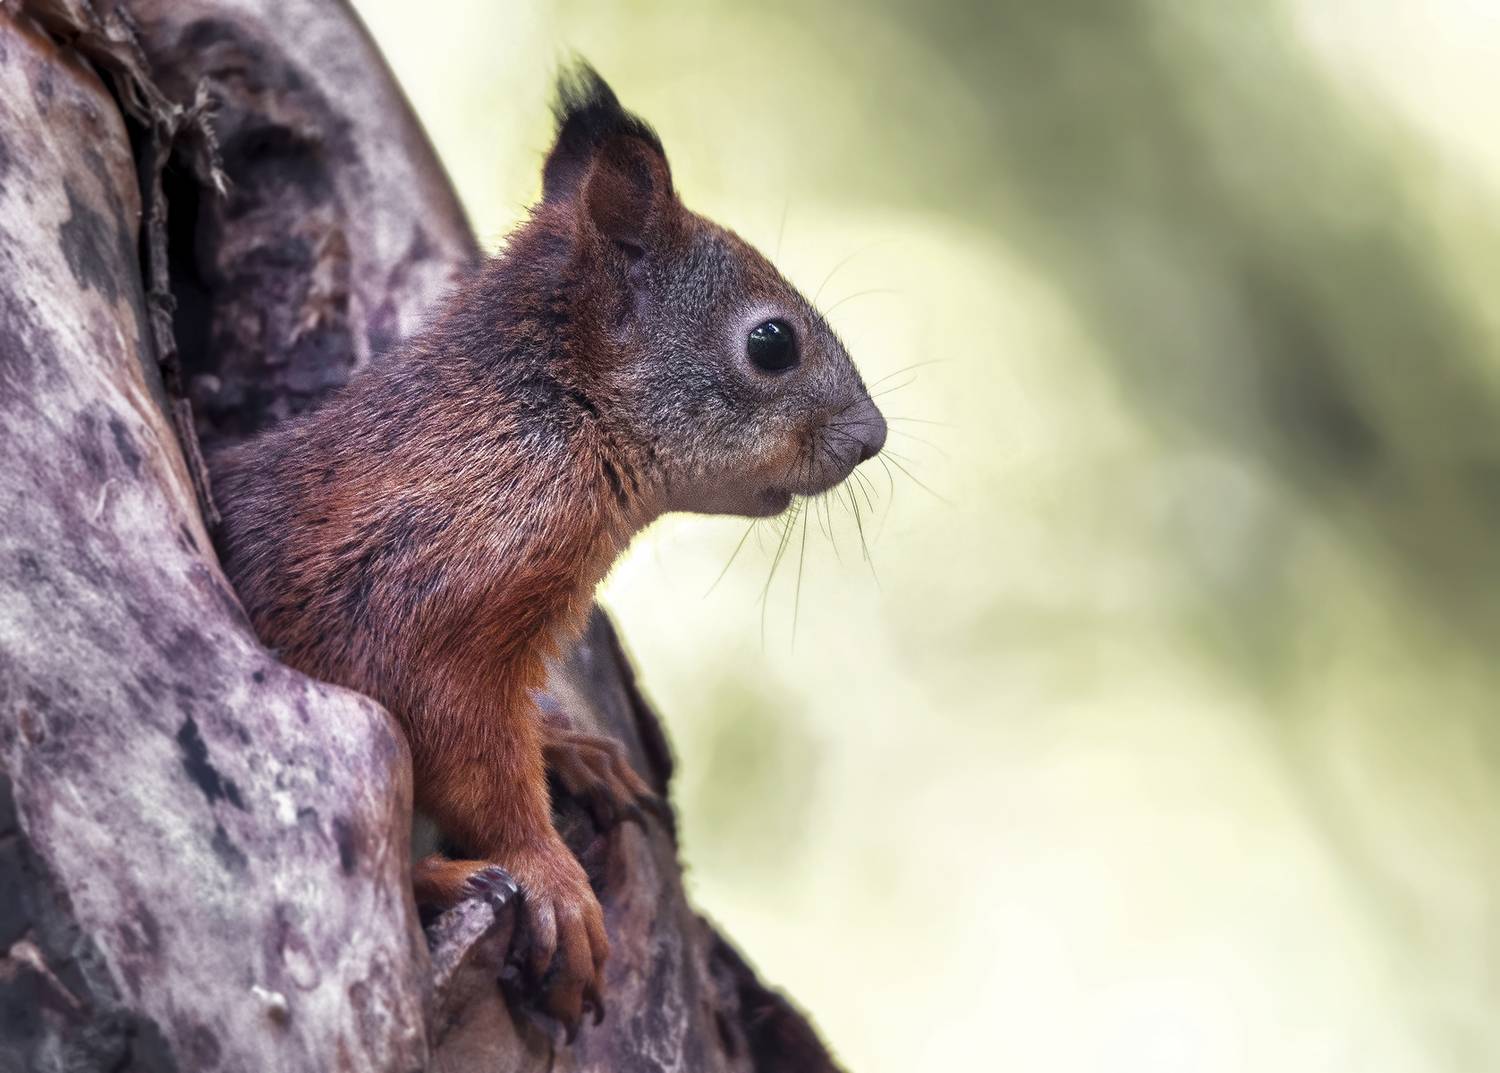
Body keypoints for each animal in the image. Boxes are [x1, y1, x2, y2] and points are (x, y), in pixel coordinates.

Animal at [211, 63, 887, 1034]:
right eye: (771, 343)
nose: (873, 437)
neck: (553, 421)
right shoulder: (426, 606)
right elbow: (473, 756)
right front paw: (552, 877)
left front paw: (568, 746)